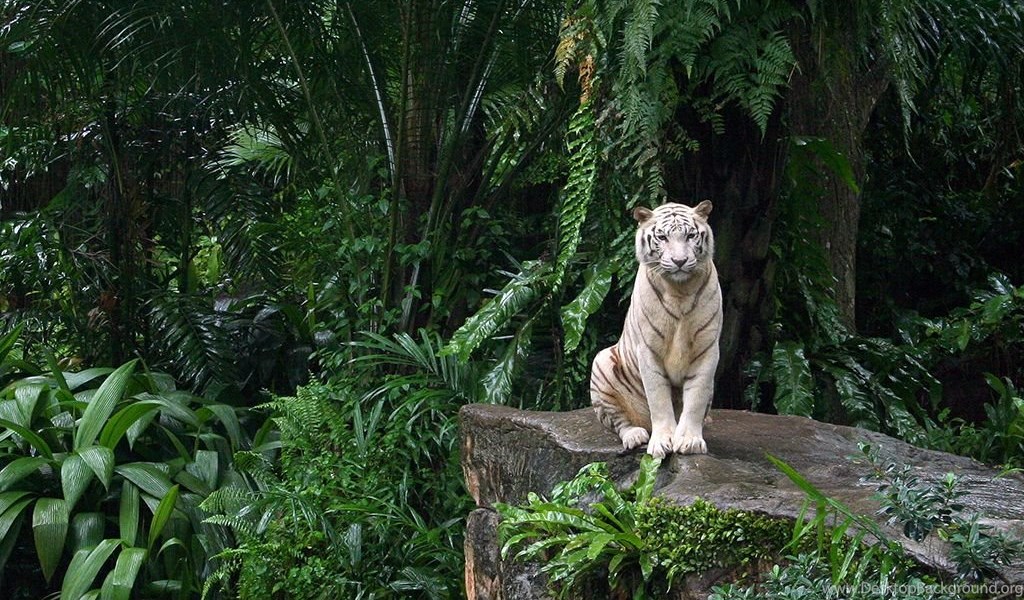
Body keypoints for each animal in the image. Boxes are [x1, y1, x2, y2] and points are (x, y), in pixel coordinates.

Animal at [590, 201, 723, 457]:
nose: (680, 261)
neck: (680, 290)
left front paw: (690, 441)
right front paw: (663, 441)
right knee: (618, 421)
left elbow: (696, 397)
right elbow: (658, 399)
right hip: (601, 364)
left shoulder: (707, 349)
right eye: (662, 237)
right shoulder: (648, 350)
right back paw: (635, 435)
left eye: (690, 235)